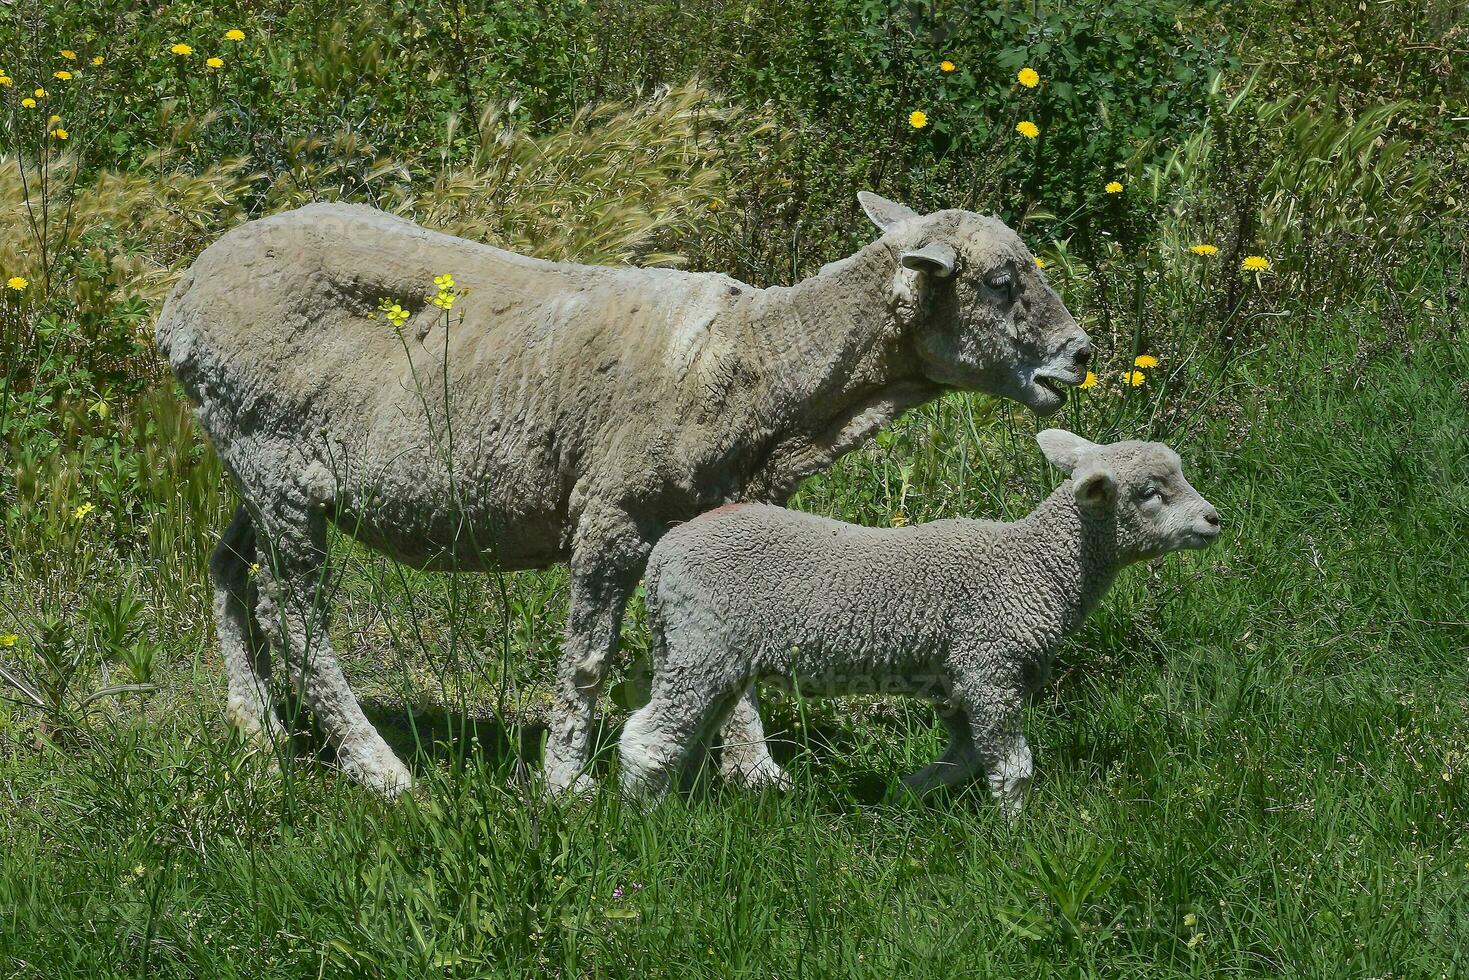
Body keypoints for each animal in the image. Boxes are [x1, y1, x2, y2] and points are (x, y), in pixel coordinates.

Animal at [157, 191, 1092, 799]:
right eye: (1002, 283)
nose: (1081, 354)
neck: (755, 363)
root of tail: (179, 301)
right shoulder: (613, 512)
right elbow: (587, 659)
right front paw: (565, 783)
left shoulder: (712, 519)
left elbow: (733, 650)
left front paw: (755, 773)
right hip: (274, 461)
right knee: (294, 618)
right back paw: (381, 771)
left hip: (254, 461)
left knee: (226, 568)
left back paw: (257, 728)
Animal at [619, 429, 1216, 811]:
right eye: (1151, 493)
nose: (1215, 519)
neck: (1034, 568)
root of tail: (663, 557)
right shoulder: (988, 667)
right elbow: (1012, 768)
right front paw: (1016, 834)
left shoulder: (955, 683)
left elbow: (966, 757)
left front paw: (904, 794)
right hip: (704, 644)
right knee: (649, 738)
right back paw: (644, 824)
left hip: (697, 651)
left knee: (687, 735)